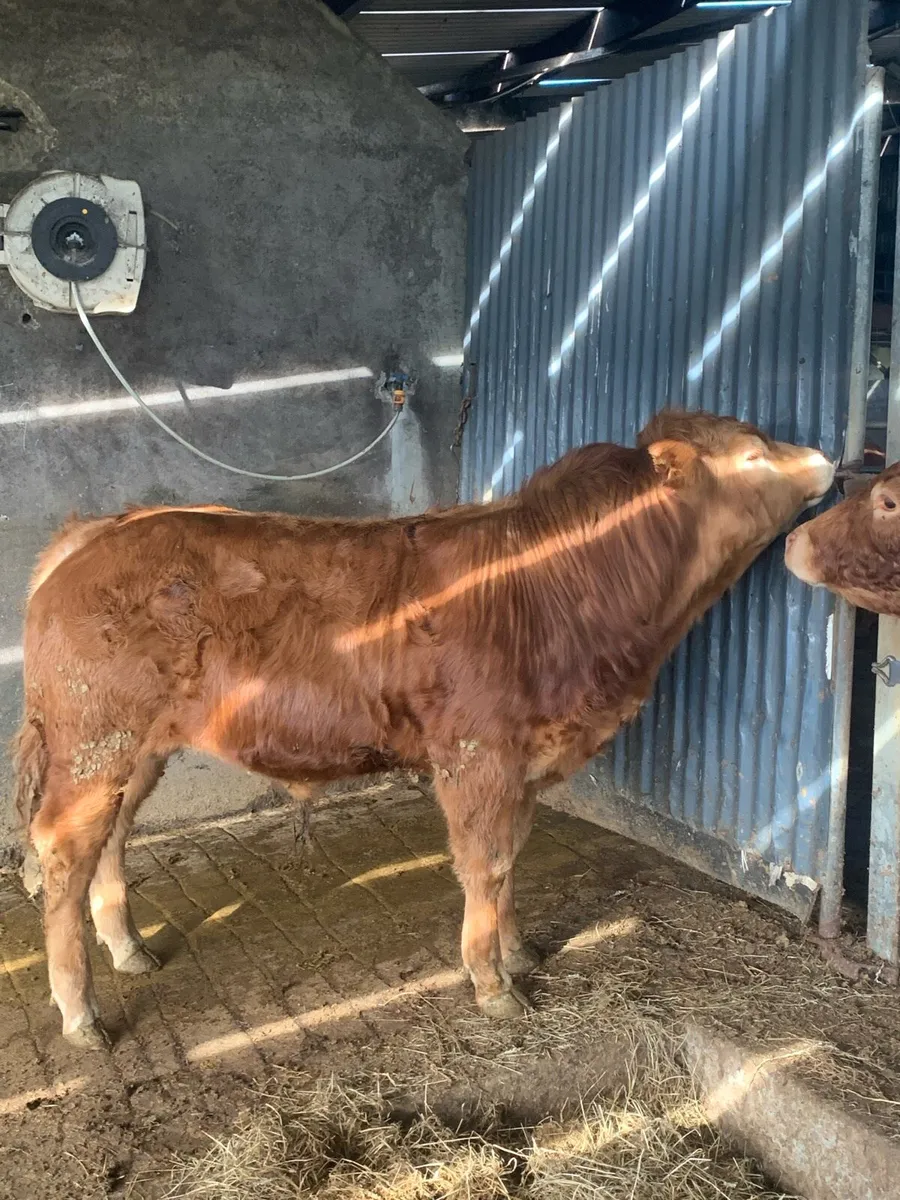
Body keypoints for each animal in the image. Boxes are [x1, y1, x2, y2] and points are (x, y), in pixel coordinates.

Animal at [14, 410, 834, 1049]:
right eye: (753, 453)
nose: (828, 459)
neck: (563, 584)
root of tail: (99, 530)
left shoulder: (522, 763)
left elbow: (511, 860)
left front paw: (519, 952)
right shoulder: (479, 755)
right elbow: (485, 864)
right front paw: (492, 983)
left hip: (135, 748)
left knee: (111, 839)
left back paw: (129, 950)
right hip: (94, 740)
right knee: (62, 850)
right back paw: (81, 1013)